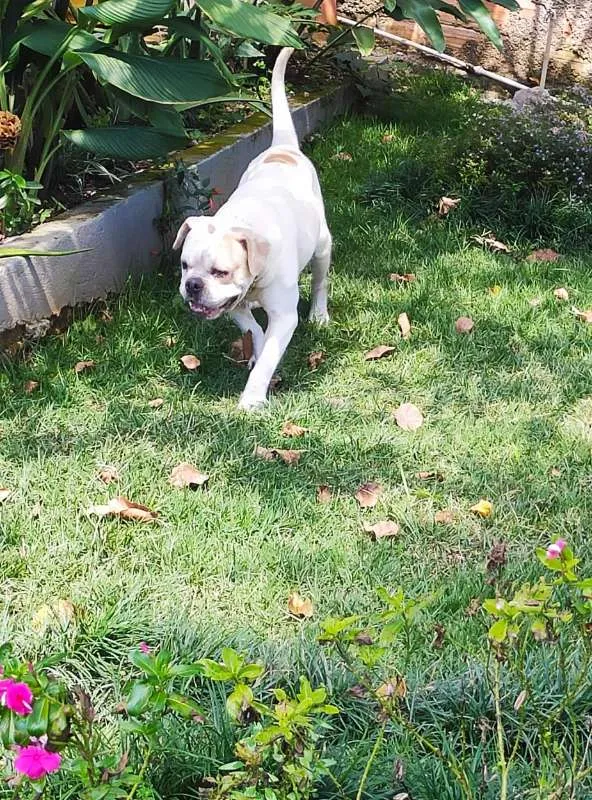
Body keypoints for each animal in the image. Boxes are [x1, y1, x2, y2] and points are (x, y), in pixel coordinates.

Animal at [173, 47, 331, 411]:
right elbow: (255, 331)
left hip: (322, 247)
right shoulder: (233, 306)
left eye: (220, 272)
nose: (193, 286)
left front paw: (252, 398)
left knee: (320, 281)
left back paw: (319, 313)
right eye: (185, 266)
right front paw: (256, 352)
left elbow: (271, 352)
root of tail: (283, 148)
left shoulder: (284, 316)